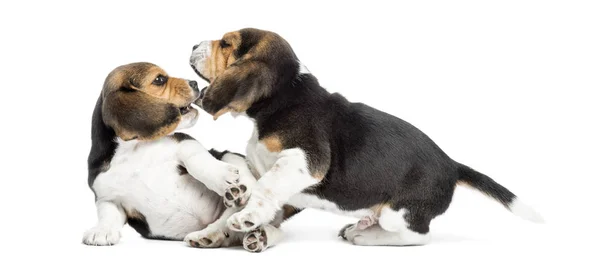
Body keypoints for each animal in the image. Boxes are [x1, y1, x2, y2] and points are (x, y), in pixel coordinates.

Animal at [82, 63, 253, 246]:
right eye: (159, 79)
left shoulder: (183, 142)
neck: (134, 149)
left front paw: (221, 176)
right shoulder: (108, 198)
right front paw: (101, 231)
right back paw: (208, 236)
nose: (194, 83)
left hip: (229, 155)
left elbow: (195, 159)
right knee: (225, 227)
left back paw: (239, 190)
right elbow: (108, 215)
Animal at [190, 27, 548, 253]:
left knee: (418, 236)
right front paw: (212, 233)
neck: (284, 96)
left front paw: (245, 219)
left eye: (226, 43)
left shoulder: (304, 161)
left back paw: (364, 236)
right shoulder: (261, 169)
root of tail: (453, 165)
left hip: (399, 212)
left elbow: (264, 189)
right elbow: (249, 195)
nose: (192, 45)